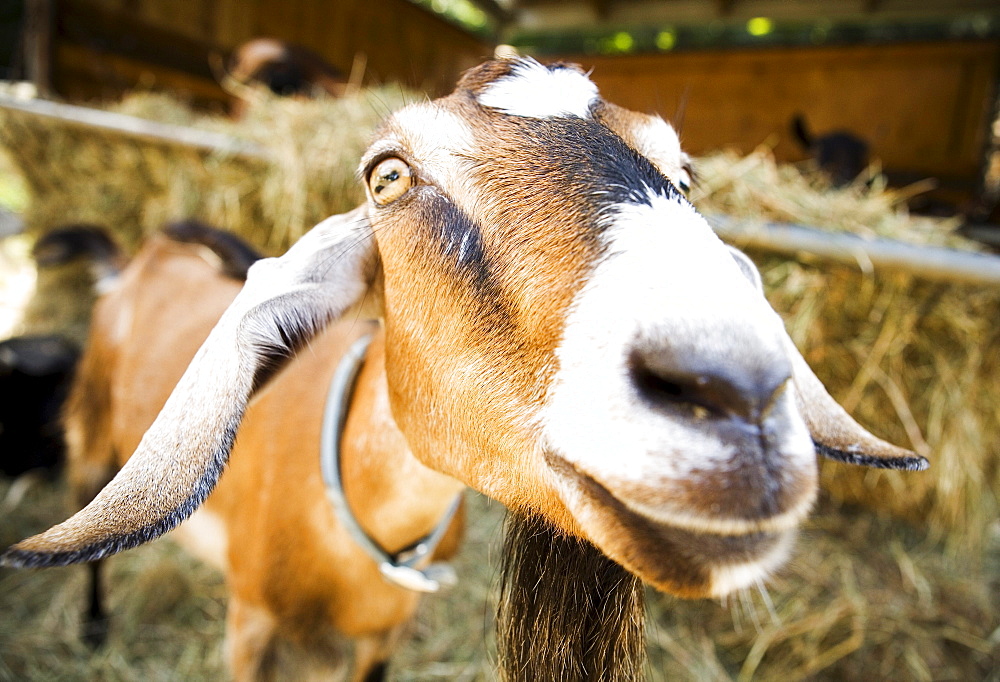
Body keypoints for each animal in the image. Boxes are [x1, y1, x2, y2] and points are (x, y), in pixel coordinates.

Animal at [3, 59, 928, 680]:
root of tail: (142, 261)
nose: (736, 393)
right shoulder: (249, 627)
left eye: (683, 174)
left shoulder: (384, 637)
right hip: (91, 440)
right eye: (387, 175)